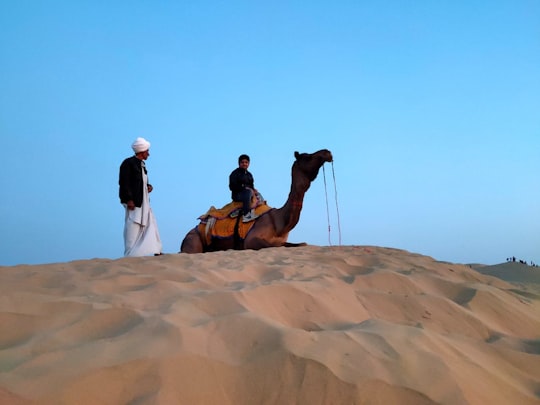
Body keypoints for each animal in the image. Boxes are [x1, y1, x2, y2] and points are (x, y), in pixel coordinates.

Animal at [180, 148, 334, 252]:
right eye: (307, 157)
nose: (327, 152)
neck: (279, 222)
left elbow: (302, 244)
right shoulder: (250, 241)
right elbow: (275, 246)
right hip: (193, 241)